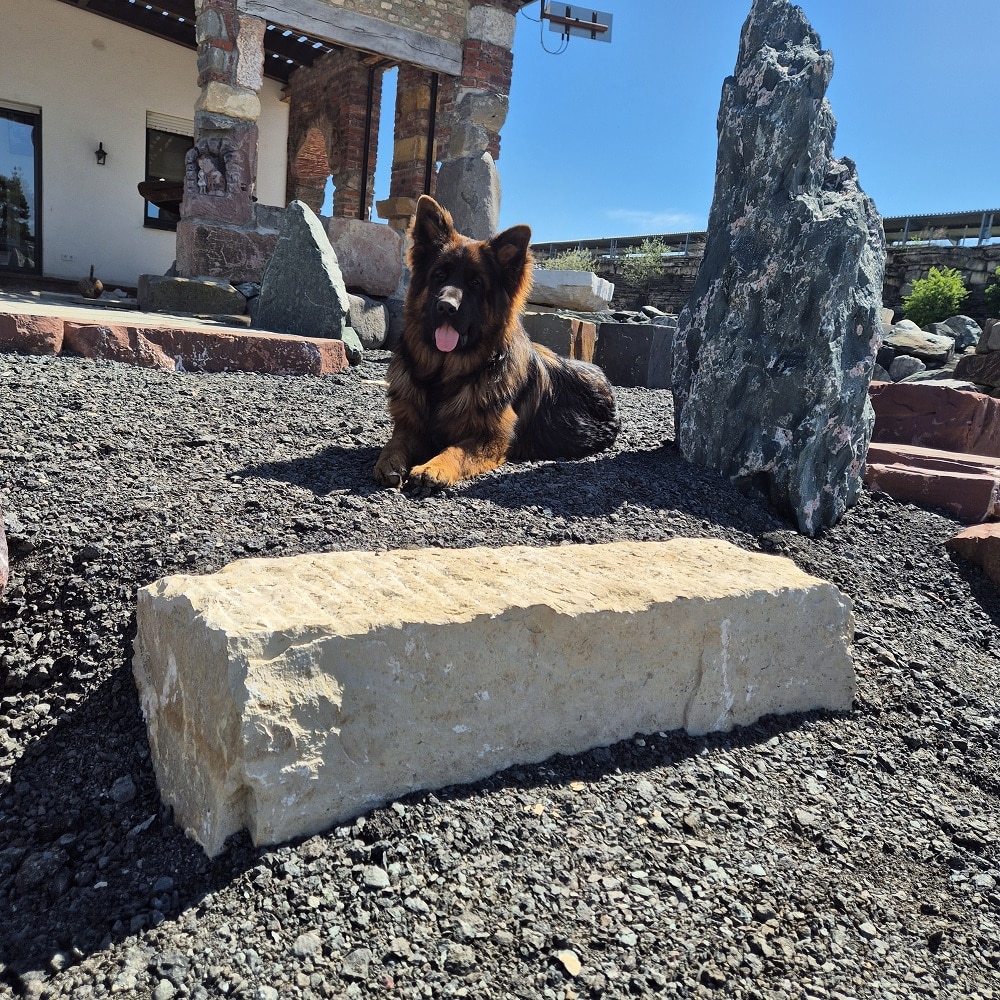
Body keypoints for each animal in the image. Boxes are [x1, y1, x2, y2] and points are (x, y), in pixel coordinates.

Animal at [373, 195, 620, 491]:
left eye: (476, 282)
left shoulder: (492, 439)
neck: (445, 375)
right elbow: (394, 442)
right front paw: (389, 461)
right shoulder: (410, 425)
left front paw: (433, 466)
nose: (445, 307)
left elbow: (455, 450)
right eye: (439, 275)